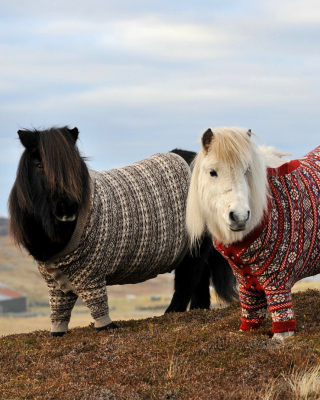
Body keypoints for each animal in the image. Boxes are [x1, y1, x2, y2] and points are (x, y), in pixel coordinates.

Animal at [9, 126, 238, 336]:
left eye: (74, 166)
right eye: (39, 165)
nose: (68, 208)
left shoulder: (92, 277)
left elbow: (99, 307)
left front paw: (106, 327)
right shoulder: (55, 284)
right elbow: (59, 312)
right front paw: (58, 332)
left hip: (193, 248)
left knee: (188, 281)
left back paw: (171, 314)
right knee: (199, 280)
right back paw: (197, 311)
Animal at [188, 127, 320, 340]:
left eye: (246, 170)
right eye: (212, 172)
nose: (240, 216)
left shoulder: (278, 283)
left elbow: (282, 326)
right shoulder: (247, 286)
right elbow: (251, 319)